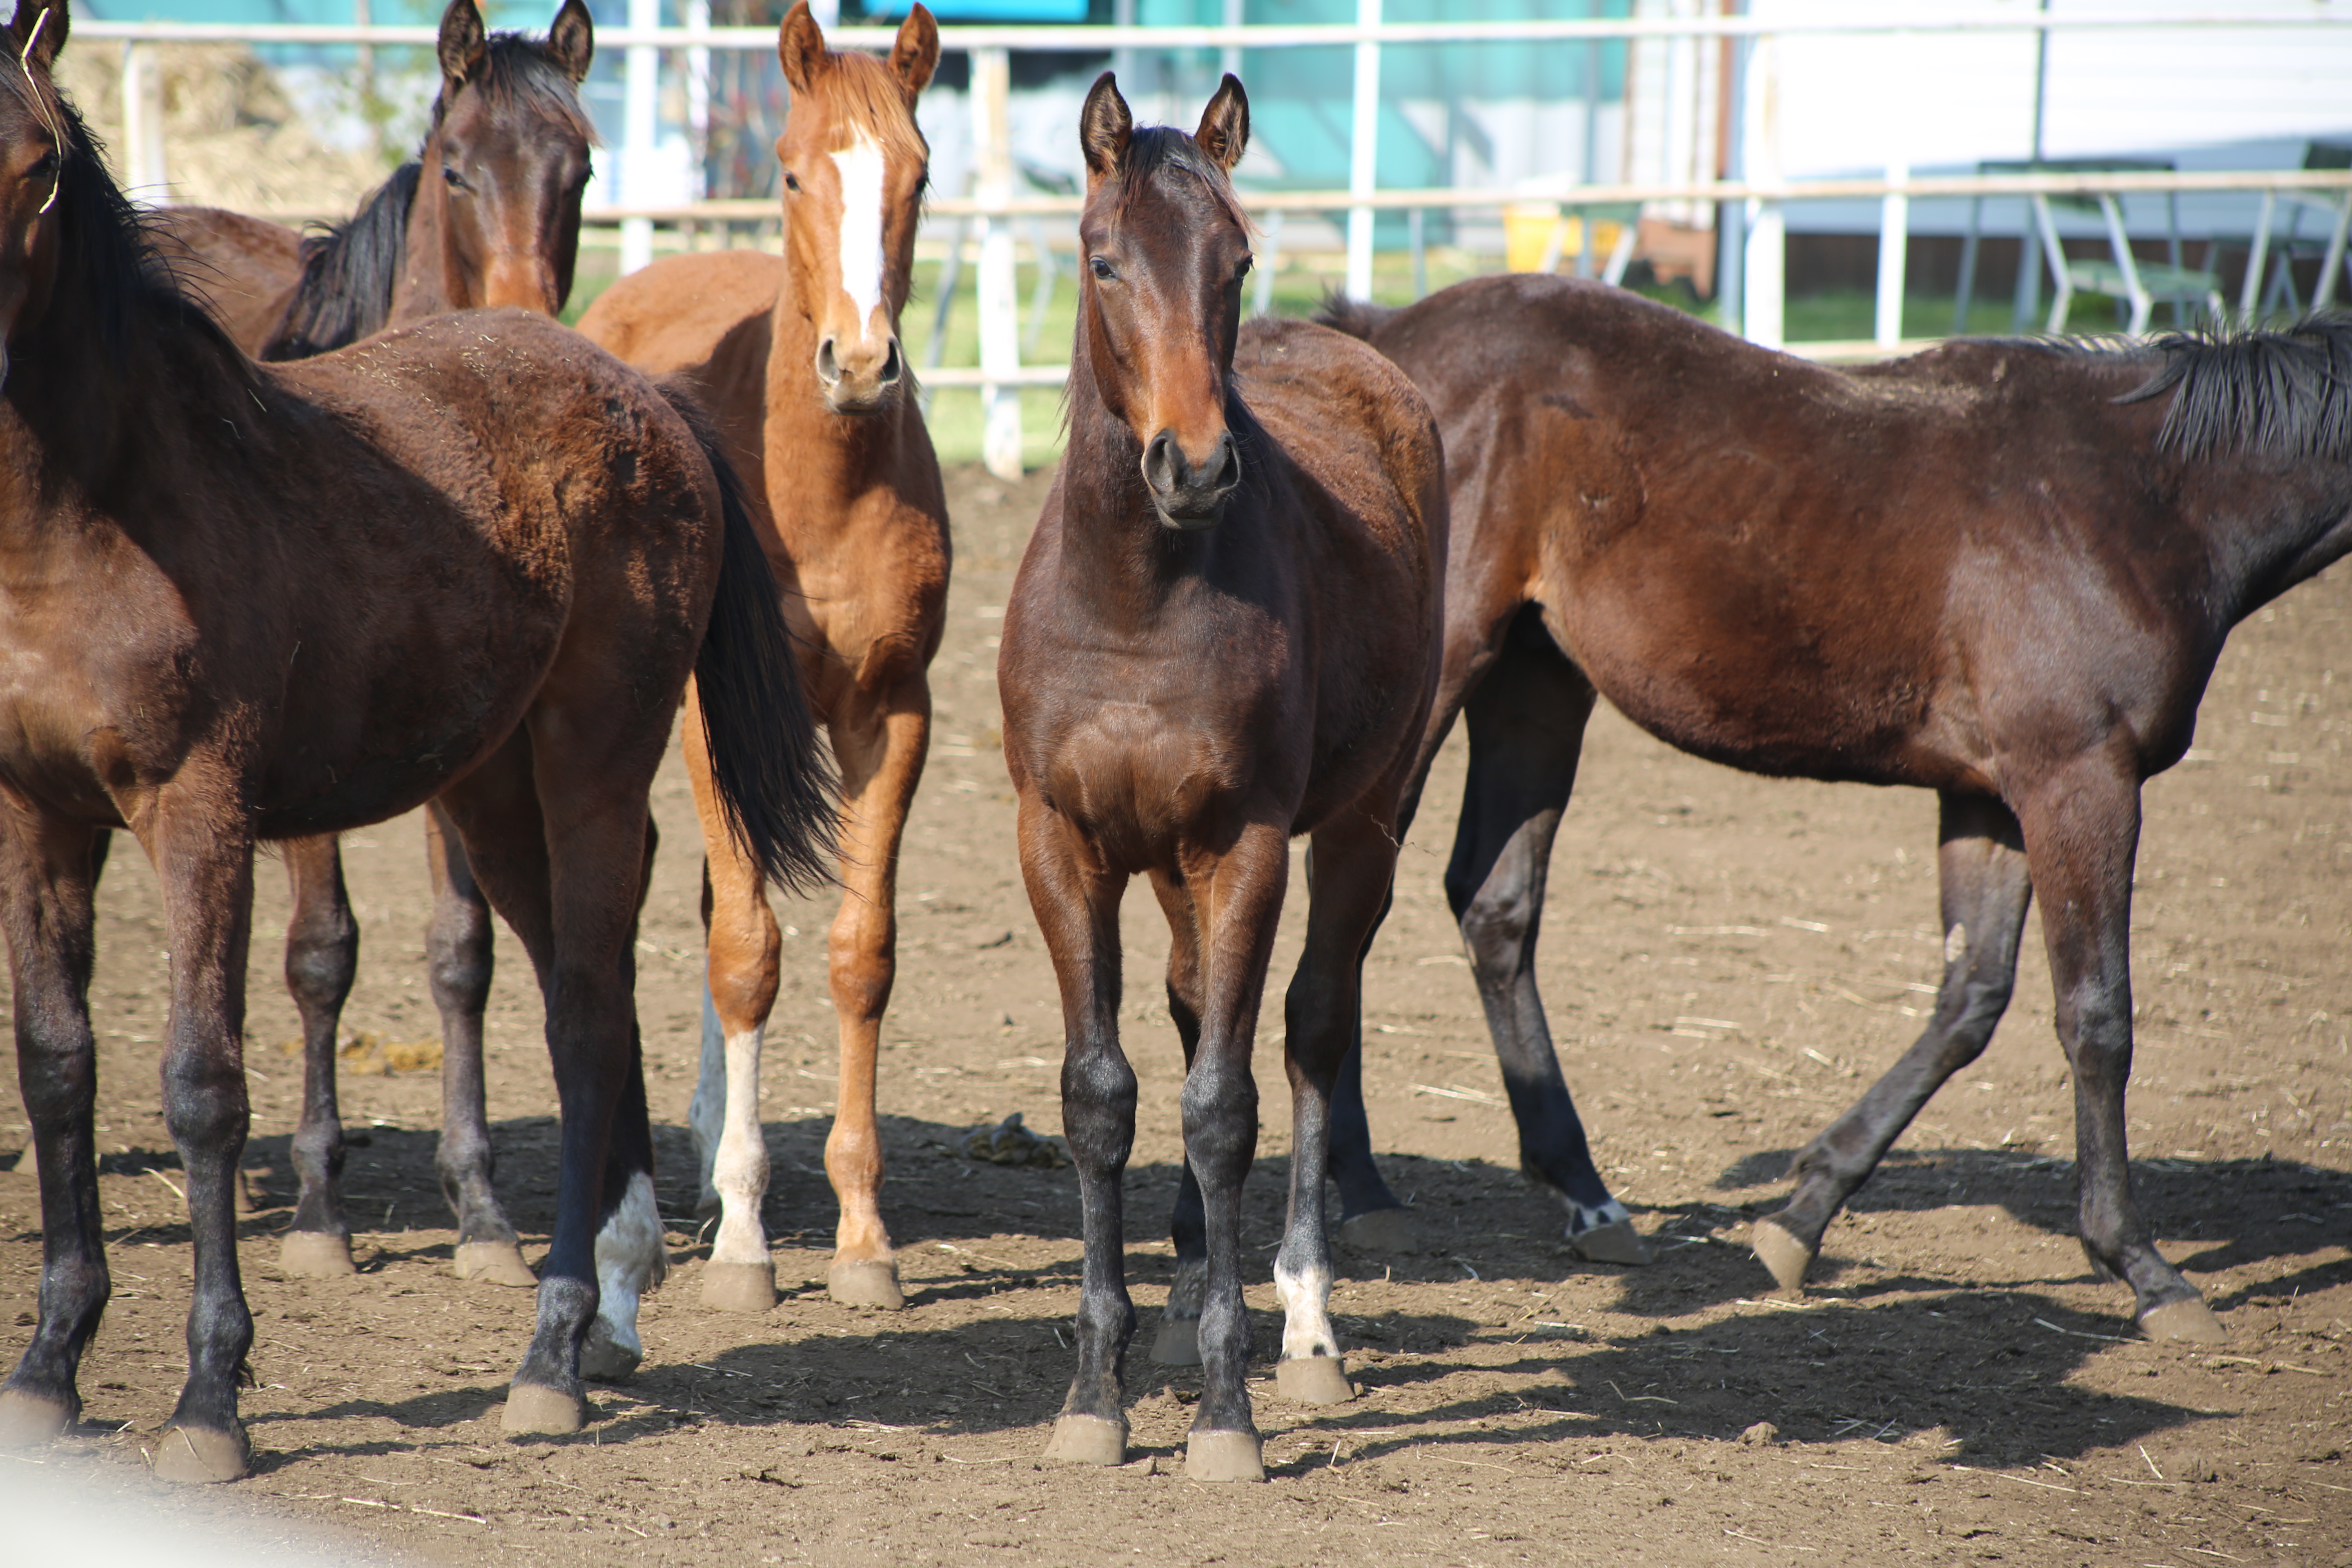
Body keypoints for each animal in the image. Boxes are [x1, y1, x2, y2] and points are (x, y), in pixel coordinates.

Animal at [0, 0, 837, 1486]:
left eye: (37, 166)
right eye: (456, 168)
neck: (97, 510)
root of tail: (642, 393)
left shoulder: (200, 813)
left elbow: (203, 1084)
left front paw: (211, 1396)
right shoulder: (39, 814)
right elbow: (58, 1069)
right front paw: (50, 1365)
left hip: (590, 764)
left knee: (582, 1012)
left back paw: (555, 1350)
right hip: (491, 789)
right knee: (575, 989)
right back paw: (606, 1310)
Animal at [576, 3, 945, 1316]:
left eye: (919, 178)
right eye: (790, 173)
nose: (862, 363)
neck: (818, 491)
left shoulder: (894, 715)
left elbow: (857, 956)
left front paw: (862, 1236)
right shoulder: (708, 717)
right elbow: (746, 955)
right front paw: (743, 1241)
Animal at [997, 80, 1439, 1486]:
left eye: (1236, 262)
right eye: (1102, 260)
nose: (1192, 465)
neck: (1136, 599)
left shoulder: (1245, 844)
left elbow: (1225, 1105)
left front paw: (1225, 1412)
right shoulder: (1063, 843)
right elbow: (1103, 1096)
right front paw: (1096, 1391)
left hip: (1361, 826)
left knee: (1309, 1030)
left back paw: (1305, 1321)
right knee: (1199, 1005)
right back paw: (1199, 1279)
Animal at [1317, 272, 2352, 1354]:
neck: (2146, 495)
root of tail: (1384, 336)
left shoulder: (1990, 797)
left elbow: (1968, 1000)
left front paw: (1801, 1215)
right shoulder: (2078, 778)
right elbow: (2095, 1016)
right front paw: (2140, 1265)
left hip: (1537, 681)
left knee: (1495, 908)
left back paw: (1585, 1195)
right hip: (1434, 690)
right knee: (1350, 918)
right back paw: (1362, 1190)